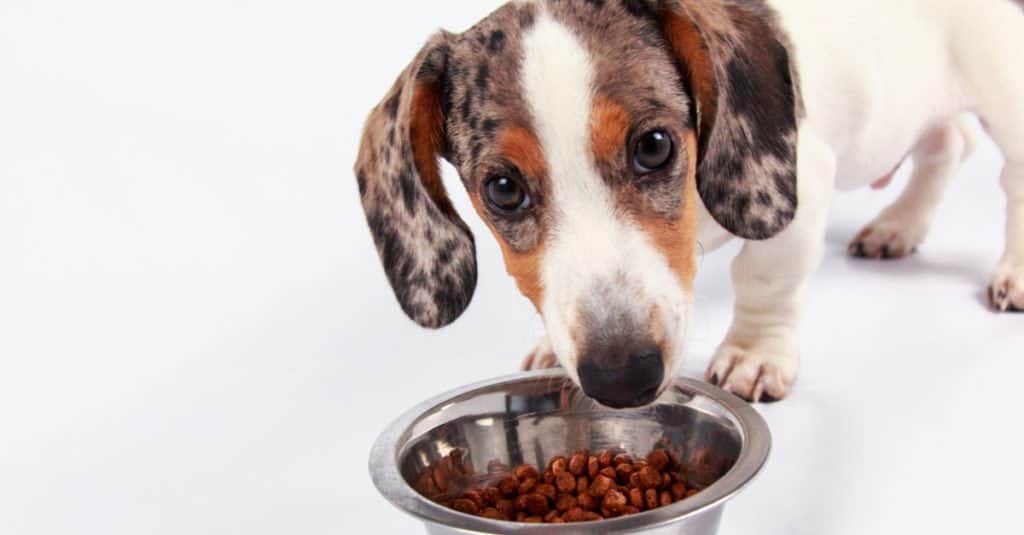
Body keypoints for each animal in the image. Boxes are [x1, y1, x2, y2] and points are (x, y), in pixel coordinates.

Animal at [354, 0, 1024, 401]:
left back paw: (1012, 273)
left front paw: (754, 356)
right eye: (502, 189)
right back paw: (898, 226)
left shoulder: (803, 188)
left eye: (653, 146)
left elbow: (765, 279)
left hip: (1004, 91)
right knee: (948, 145)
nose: (622, 377)